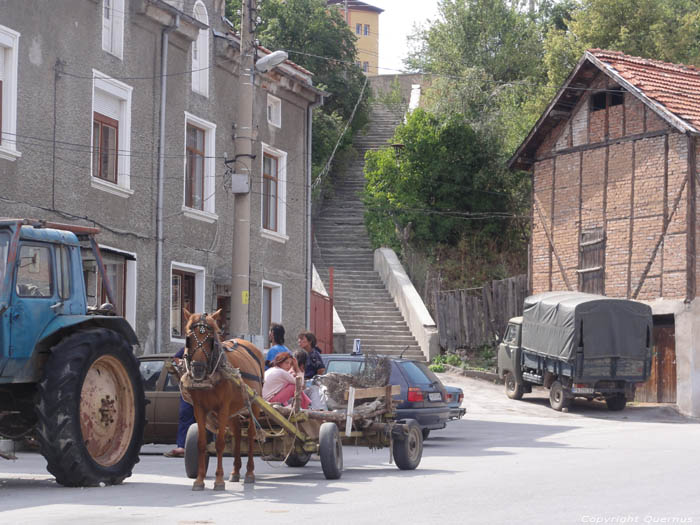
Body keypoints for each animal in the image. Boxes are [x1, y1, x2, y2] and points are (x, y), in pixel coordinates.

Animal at [182, 310, 264, 490]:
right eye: (189, 337)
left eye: (211, 339)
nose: (198, 369)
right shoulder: (199, 408)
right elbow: (201, 443)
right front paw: (199, 480)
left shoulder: (223, 408)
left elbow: (220, 443)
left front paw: (219, 480)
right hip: (234, 411)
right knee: (238, 435)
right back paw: (235, 471)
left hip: (253, 404)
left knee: (251, 435)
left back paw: (249, 472)